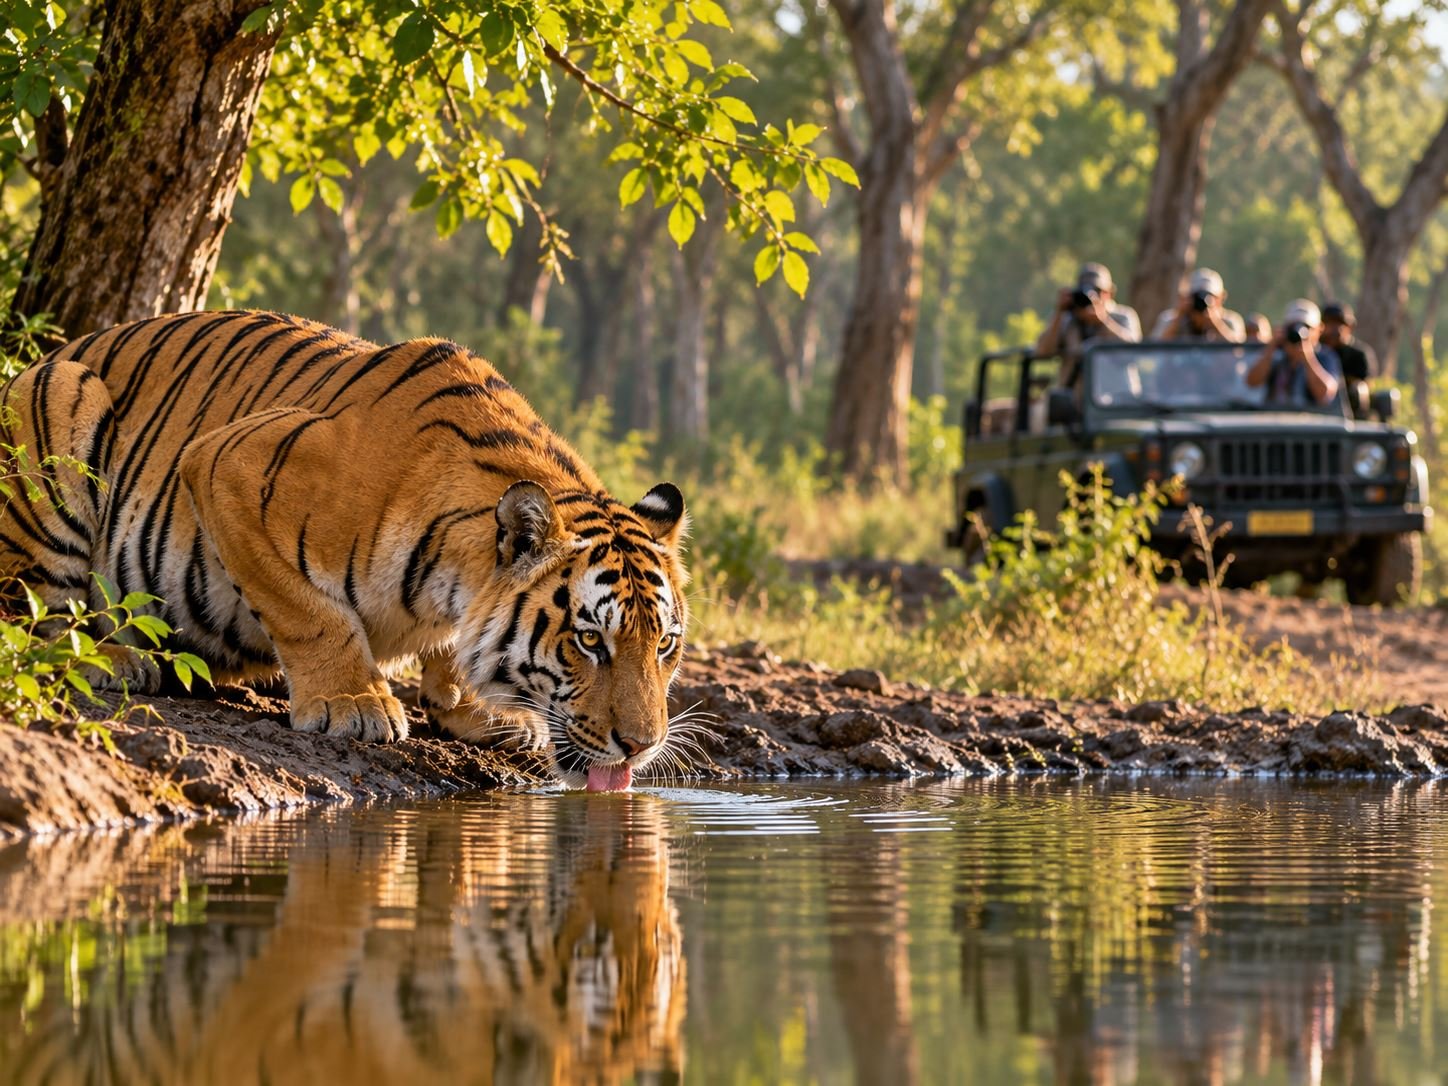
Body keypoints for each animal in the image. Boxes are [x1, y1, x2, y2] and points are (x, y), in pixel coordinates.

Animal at [0, 310, 690, 789]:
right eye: (590, 641)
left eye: (664, 646)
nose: (641, 746)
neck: (452, 583)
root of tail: (59, 352)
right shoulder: (225, 464)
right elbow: (311, 612)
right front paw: (353, 703)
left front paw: (477, 709)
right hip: (62, 405)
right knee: (31, 618)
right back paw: (110, 658)